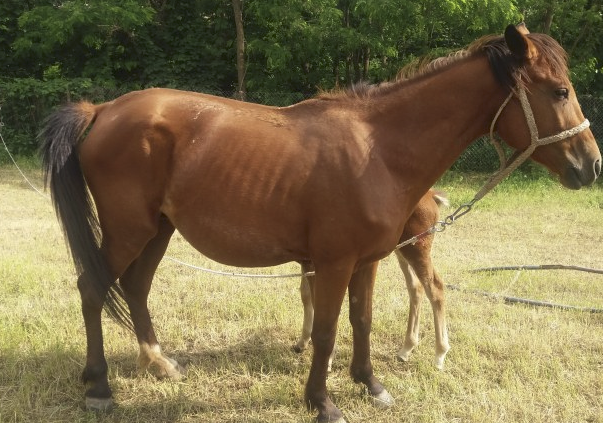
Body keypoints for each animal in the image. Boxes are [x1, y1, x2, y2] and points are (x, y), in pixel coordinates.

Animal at [294, 189, 450, 372]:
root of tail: (430, 195)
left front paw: (328, 359)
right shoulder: (308, 262)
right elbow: (306, 296)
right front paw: (302, 342)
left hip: (416, 248)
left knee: (435, 288)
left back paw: (439, 354)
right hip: (403, 249)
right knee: (415, 287)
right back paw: (406, 349)